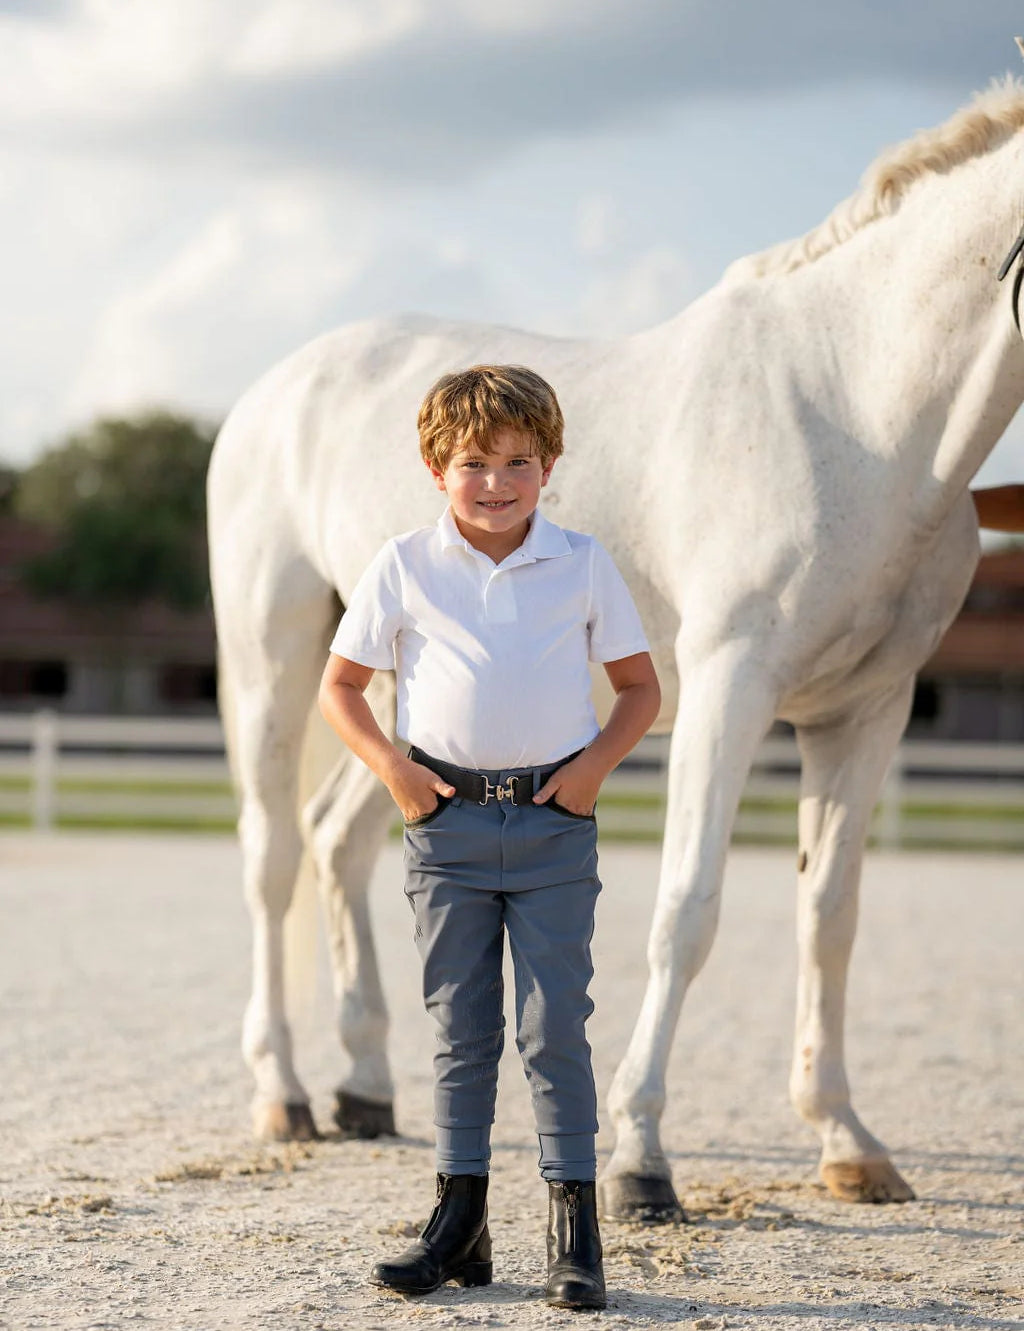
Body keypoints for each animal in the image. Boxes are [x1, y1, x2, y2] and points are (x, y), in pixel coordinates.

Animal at [207, 75, 1024, 1221]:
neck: (858, 410)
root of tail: (274, 389)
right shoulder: (733, 686)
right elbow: (688, 912)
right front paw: (643, 1158)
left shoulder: (868, 708)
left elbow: (830, 915)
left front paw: (846, 1140)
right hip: (274, 656)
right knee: (273, 853)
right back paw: (281, 1092)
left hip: (402, 700)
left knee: (337, 841)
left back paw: (364, 1087)